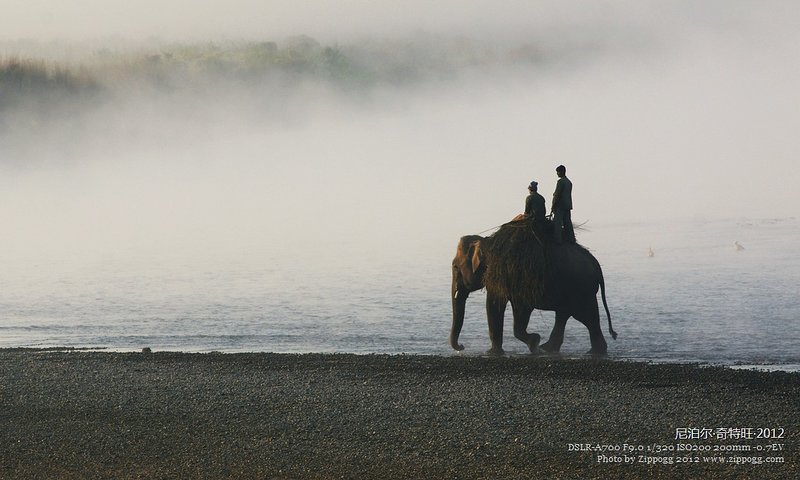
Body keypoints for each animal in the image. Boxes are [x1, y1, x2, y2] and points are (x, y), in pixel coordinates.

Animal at [450, 219, 620, 354]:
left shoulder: (504, 275)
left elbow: (499, 306)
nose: (462, 347)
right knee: (566, 315)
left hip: (581, 289)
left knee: (585, 316)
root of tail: (596, 264)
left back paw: (592, 352)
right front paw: (534, 343)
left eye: (455, 267)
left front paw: (531, 343)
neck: (486, 241)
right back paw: (550, 349)